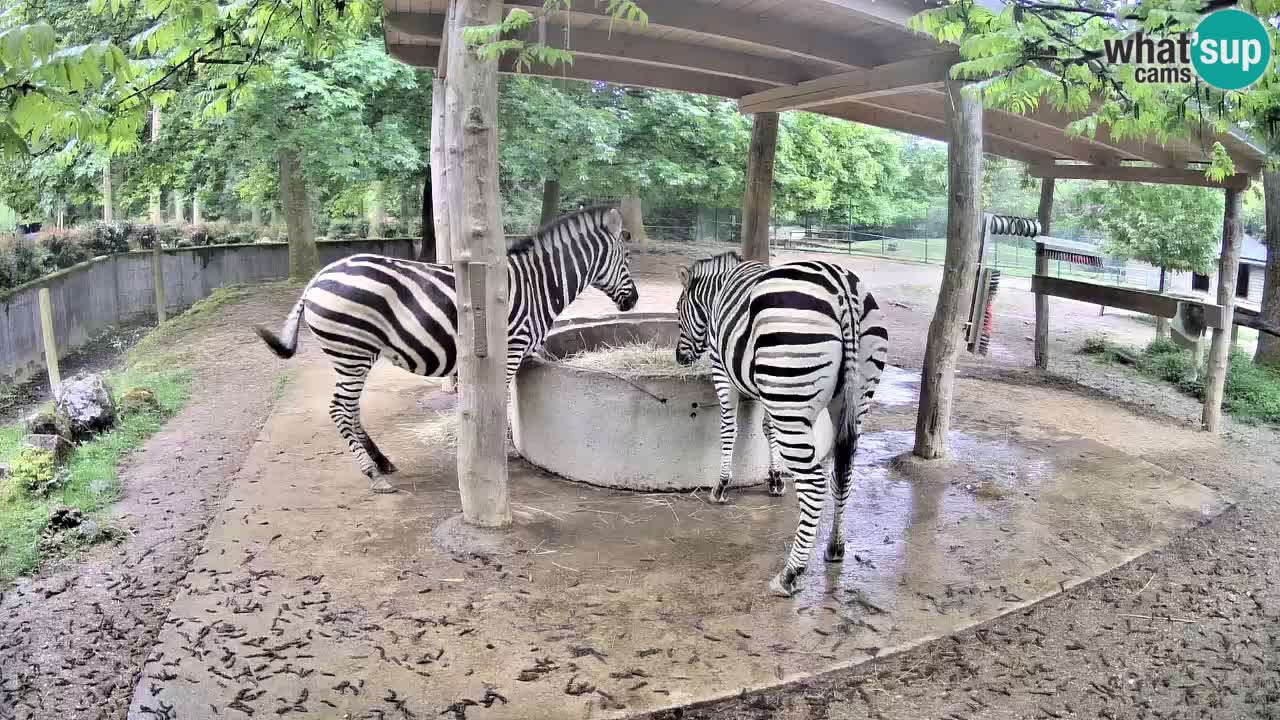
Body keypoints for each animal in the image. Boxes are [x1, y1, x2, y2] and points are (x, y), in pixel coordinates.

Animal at [255, 206, 639, 493]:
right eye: (627, 258)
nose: (634, 301)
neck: (538, 285)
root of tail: (316, 279)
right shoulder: (510, 349)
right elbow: (500, 402)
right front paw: (501, 451)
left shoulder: (526, 350)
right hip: (353, 353)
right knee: (340, 409)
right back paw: (373, 474)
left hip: (353, 355)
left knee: (351, 410)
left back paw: (382, 462)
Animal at [675, 251, 888, 597]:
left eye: (679, 312)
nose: (680, 359)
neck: (718, 292)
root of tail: (843, 290)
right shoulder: (765, 386)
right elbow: (767, 430)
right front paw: (775, 479)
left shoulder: (723, 370)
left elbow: (729, 428)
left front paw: (721, 486)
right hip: (851, 397)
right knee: (843, 474)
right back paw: (835, 547)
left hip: (791, 386)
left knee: (814, 484)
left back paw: (790, 573)